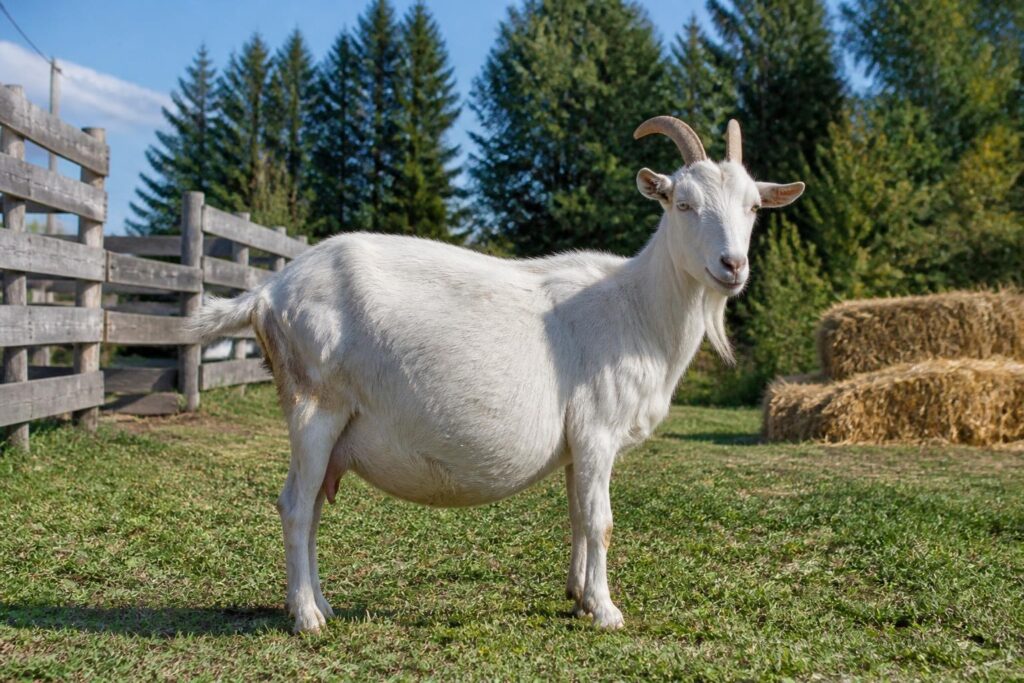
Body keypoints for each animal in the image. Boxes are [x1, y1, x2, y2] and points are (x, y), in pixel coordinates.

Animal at [190, 117, 805, 633]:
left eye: (753, 207)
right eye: (682, 202)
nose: (732, 266)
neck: (638, 310)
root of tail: (268, 291)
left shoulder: (577, 444)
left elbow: (577, 515)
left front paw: (578, 596)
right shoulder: (598, 430)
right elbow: (601, 520)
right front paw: (607, 611)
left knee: (313, 507)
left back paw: (321, 603)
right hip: (315, 405)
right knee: (295, 507)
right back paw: (307, 618)